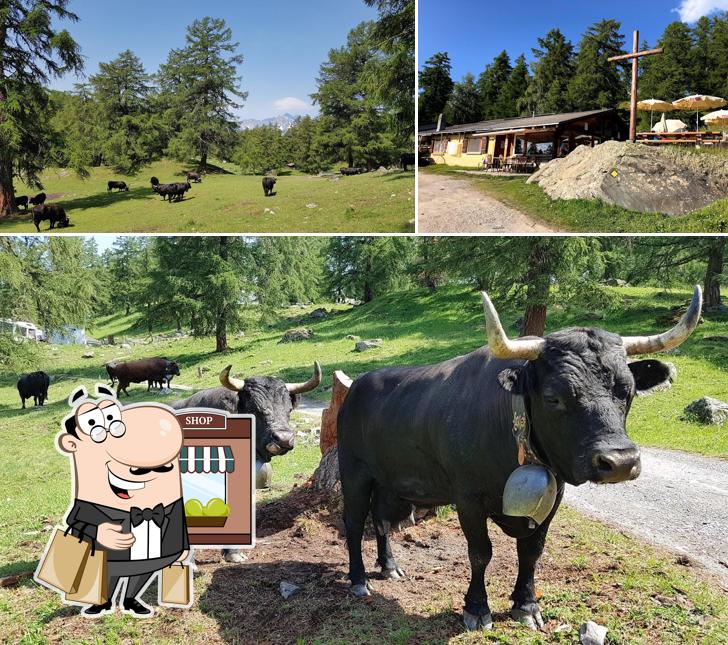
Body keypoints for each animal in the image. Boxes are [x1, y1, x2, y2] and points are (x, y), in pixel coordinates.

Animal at [338, 286, 704, 628]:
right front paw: (477, 608)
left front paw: (526, 605)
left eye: (627, 392)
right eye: (554, 397)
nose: (621, 462)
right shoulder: (468, 498)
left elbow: (531, 552)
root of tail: (359, 385)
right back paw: (358, 580)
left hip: (390, 480)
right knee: (355, 523)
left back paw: (389, 566)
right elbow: (480, 552)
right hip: (354, 472)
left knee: (381, 519)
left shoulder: (553, 498)